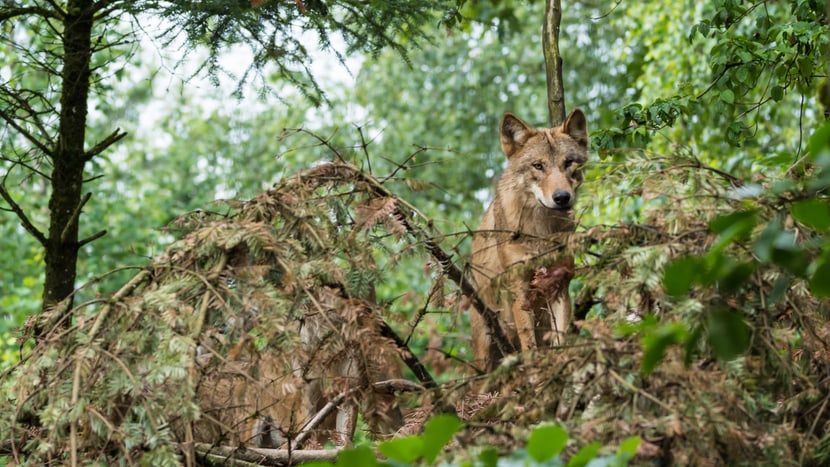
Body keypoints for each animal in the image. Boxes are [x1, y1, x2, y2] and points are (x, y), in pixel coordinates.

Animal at [472, 109, 588, 372]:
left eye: (568, 162)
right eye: (538, 166)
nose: (562, 197)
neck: (541, 231)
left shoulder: (560, 284)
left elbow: (560, 339)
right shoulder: (519, 289)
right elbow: (529, 346)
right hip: (484, 351)